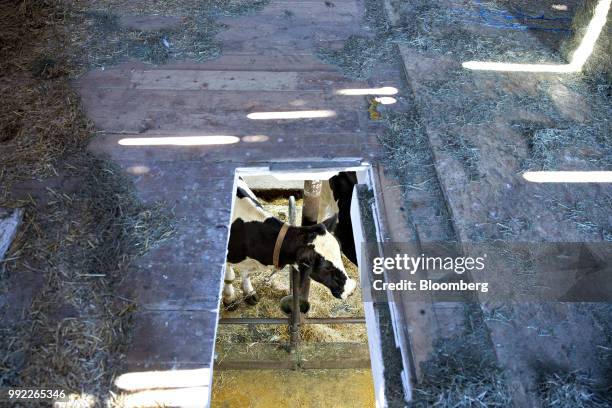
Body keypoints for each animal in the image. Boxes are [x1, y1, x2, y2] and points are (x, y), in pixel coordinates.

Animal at [224, 177, 358, 308]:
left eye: (340, 254)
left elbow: (246, 274)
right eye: (326, 267)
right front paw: (229, 298)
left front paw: (249, 293)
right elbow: (229, 277)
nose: (351, 289)